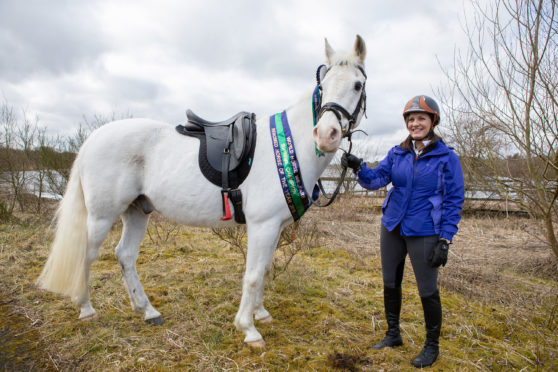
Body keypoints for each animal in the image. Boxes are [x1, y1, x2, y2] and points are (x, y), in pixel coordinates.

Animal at [37, 35, 370, 346]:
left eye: (357, 85)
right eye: (323, 86)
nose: (326, 135)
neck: (288, 146)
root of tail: (92, 139)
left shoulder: (275, 227)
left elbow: (263, 270)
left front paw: (261, 314)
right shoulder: (262, 226)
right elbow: (252, 275)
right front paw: (248, 329)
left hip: (137, 212)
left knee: (125, 255)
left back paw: (147, 311)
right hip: (101, 217)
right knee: (87, 254)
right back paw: (86, 308)